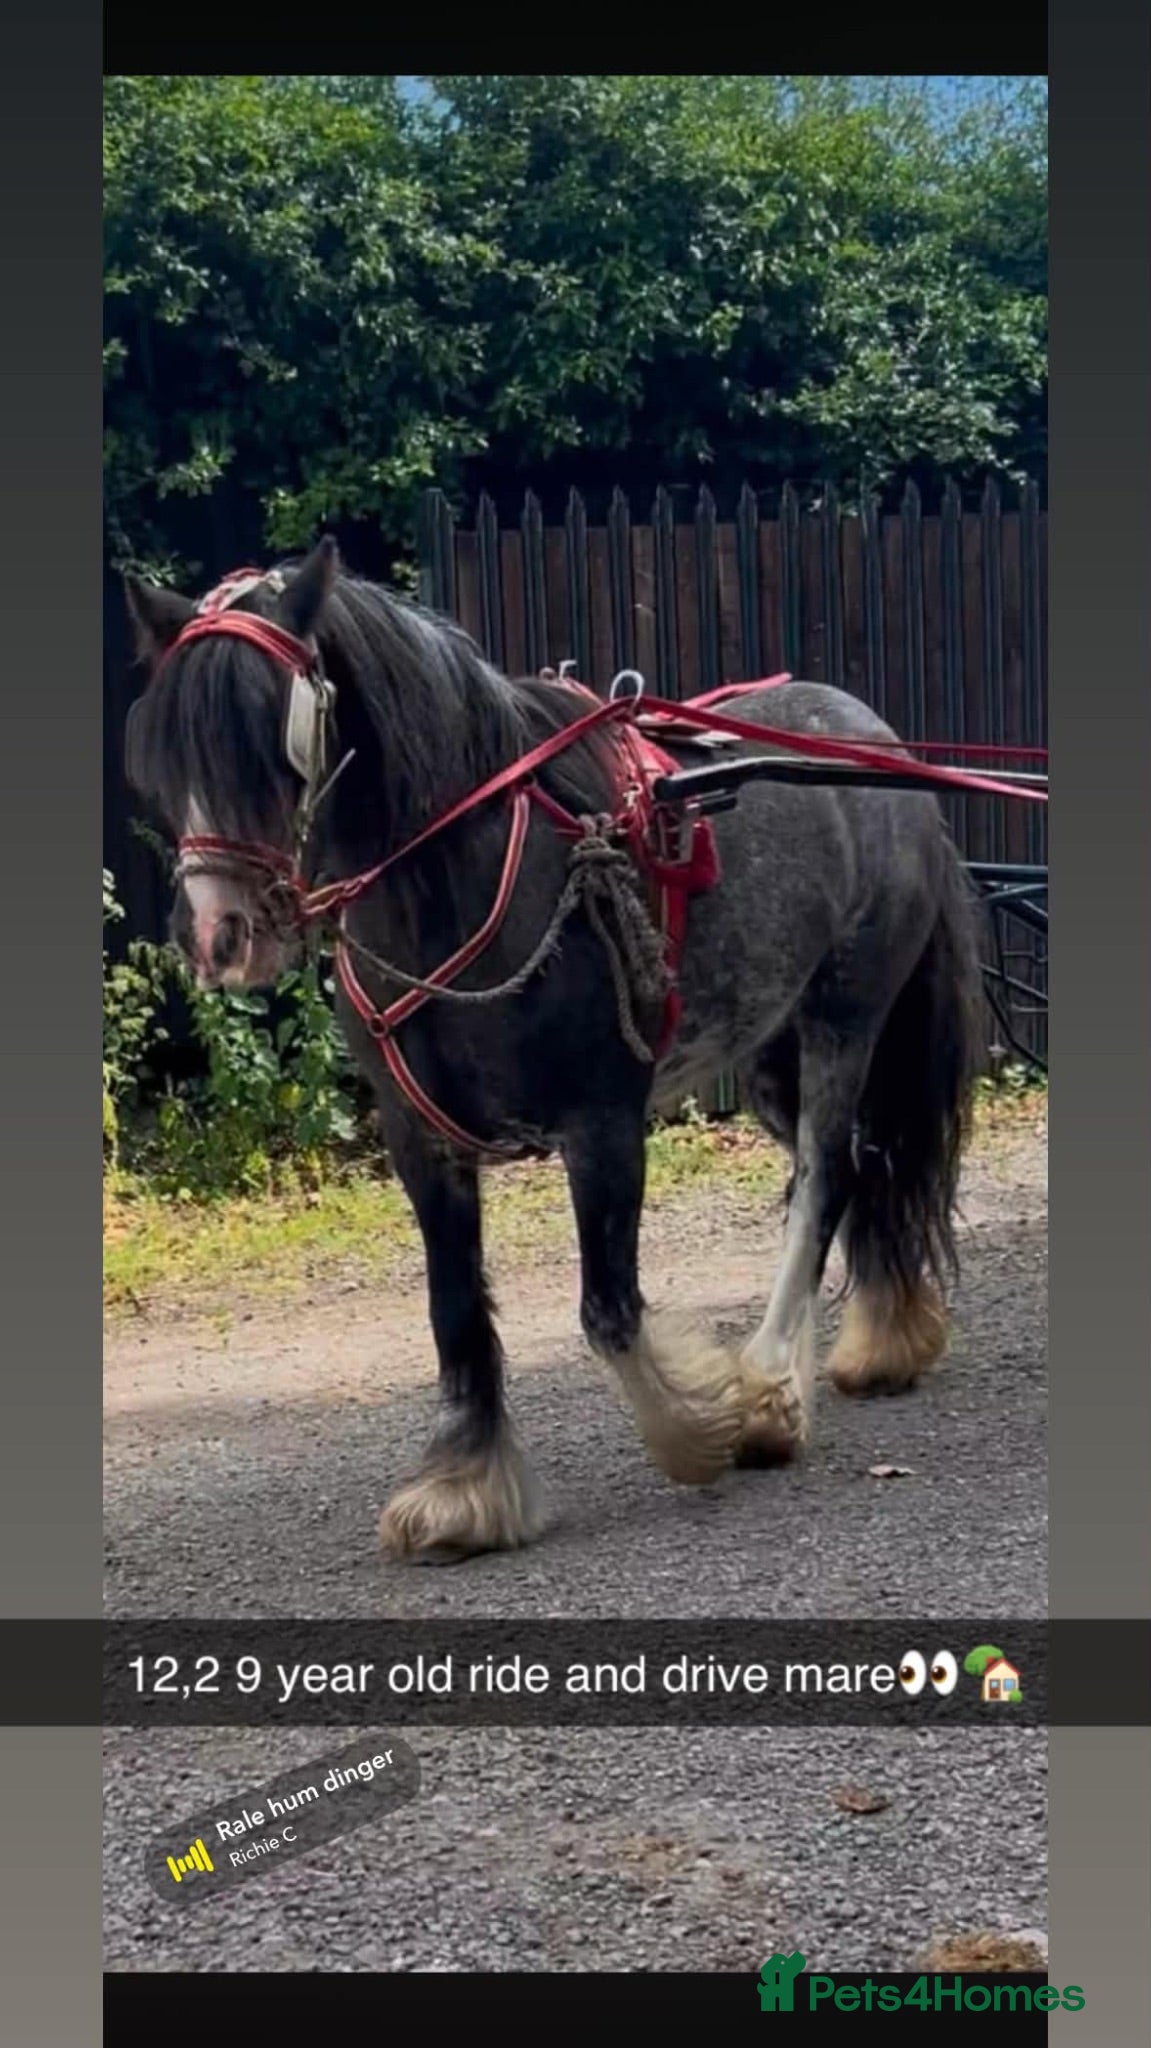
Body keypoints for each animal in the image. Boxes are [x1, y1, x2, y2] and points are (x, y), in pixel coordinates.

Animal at [122, 536, 985, 1565]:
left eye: (270, 736)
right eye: (163, 750)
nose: (221, 936)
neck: (468, 878)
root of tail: (872, 741)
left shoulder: (601, 1125)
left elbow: (607, 1310)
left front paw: (700, 1426)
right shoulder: (420, 1145)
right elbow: (455, 1312)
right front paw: (464, 1491)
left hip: (843, 1018)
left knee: (824, 1180)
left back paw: (773, 1387)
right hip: (769, 1048)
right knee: (860, 1166)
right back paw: (884, 1339)